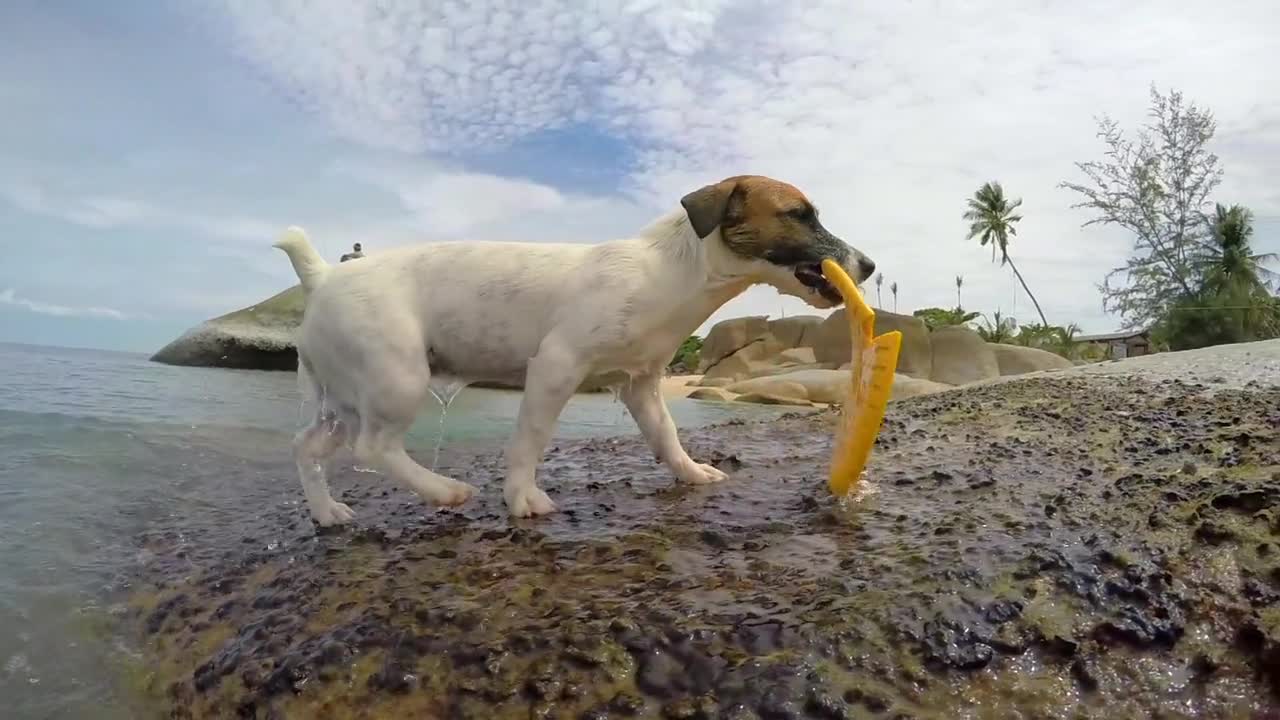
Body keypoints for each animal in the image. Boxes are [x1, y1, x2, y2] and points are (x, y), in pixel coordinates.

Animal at [273, 172, 875, 520]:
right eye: (799, 214)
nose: (869, 266)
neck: (672, 272)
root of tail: (323, 276)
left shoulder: (642, 385)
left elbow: (666, 436)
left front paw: (690, 473)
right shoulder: (556, 367)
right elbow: (529, 441)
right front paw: (521, 498)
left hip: (347, 395)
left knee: (307, 446)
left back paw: (327, 512)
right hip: (397, 377)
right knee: (373, 447)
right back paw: (444, 491)